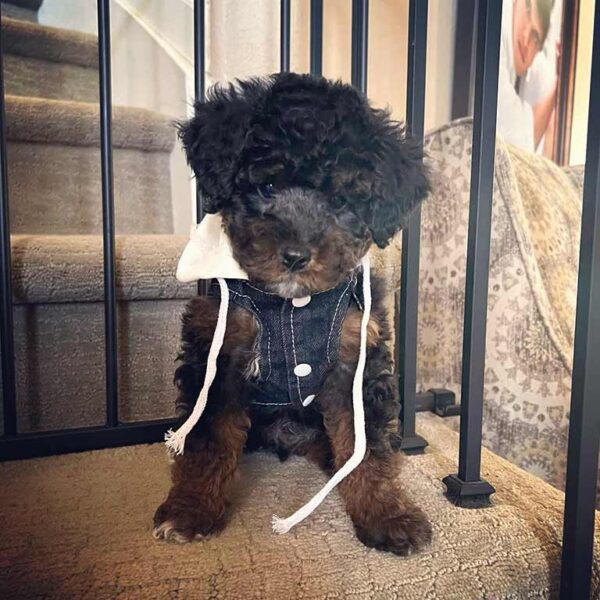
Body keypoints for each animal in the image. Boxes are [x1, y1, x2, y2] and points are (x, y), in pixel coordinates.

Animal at [154, 72, 432, 556]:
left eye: (341, 201)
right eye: (267, 187)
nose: (296, 256)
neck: (293, 305)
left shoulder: (357, 361)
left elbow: (368, 447)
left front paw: (386, 514)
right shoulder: (218, 354)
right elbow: (206, 439)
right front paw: (190, 509)